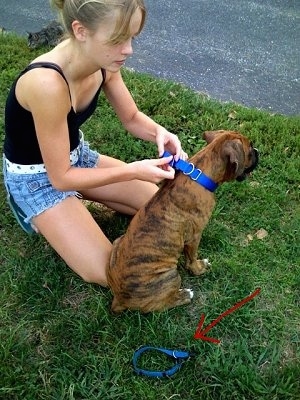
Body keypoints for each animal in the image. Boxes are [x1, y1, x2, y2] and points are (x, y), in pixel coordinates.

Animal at [107, 130, 258, 312]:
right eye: (250, 148)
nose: (258, 152)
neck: (200, 174)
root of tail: (119, 299)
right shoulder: (194, 236)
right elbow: (192, 258)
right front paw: (199, 268)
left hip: (117, 242)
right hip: (170, 276)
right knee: (163, 304)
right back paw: (185, 295)